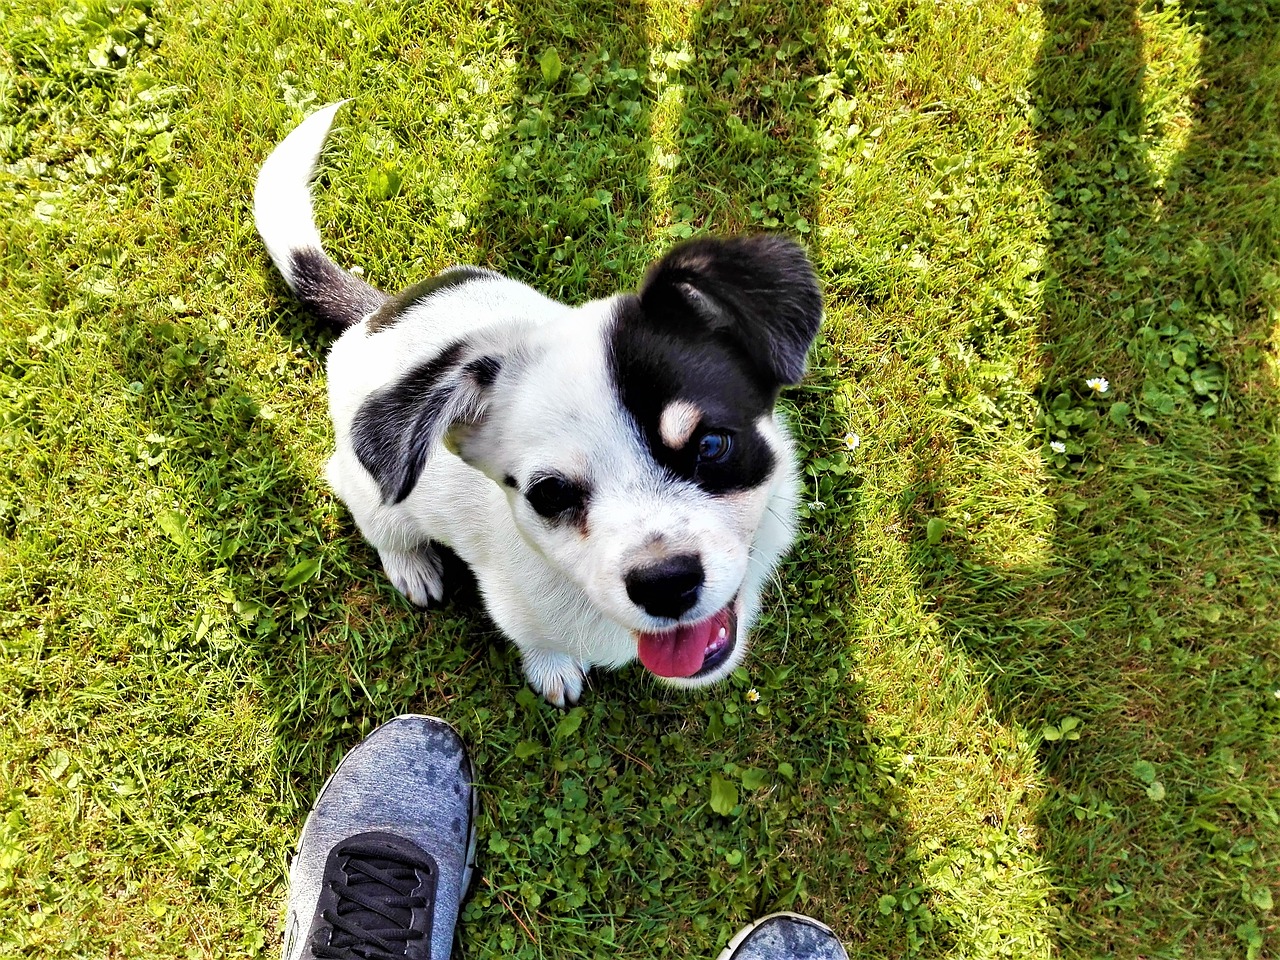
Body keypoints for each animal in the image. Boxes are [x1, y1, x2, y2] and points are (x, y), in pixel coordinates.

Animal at [254, 103, 824, 706]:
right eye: (550, 495)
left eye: (712, 444)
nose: (664, 583)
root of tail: (375, 315)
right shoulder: (516, 607)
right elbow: (538, 642)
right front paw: (552, 668)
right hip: (373, 493)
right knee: (378, 520)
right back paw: (411, 564)